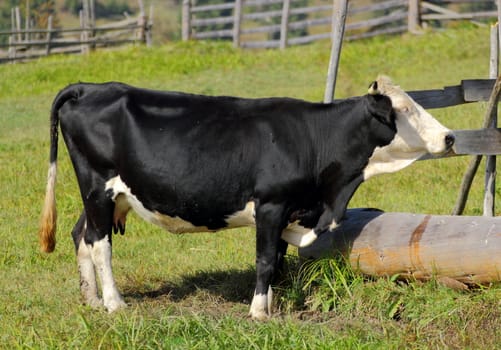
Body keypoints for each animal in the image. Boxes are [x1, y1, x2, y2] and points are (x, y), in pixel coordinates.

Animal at [39, 76, 454, 320]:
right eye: (404, 109)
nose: (449, 137)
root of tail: (90, 86)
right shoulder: (271, 206)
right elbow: (266, 261)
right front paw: (258, 313)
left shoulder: (289, 211)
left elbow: (279, 262)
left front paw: (270, 305)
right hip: (98, 186)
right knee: (100, 243)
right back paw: (114, 303)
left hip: (106, 195)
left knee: (82, 235)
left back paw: (92, 299)